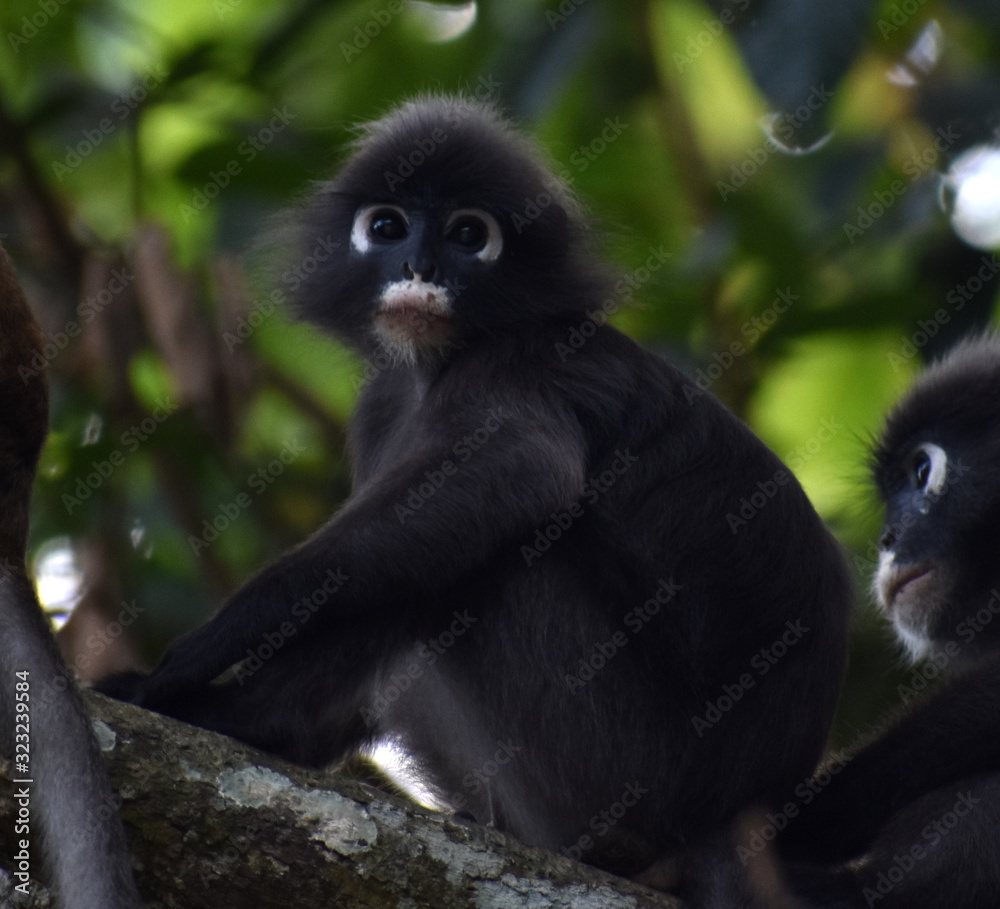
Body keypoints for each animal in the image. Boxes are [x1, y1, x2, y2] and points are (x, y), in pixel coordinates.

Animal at [98, 96, 851, 884]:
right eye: (388, 227)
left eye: (468, 235)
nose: (419, 266)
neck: (438, 362)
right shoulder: (383, 403)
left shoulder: (520, 364)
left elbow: (518, 473)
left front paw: (199, 651)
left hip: (622, 769)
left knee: (495, 552)